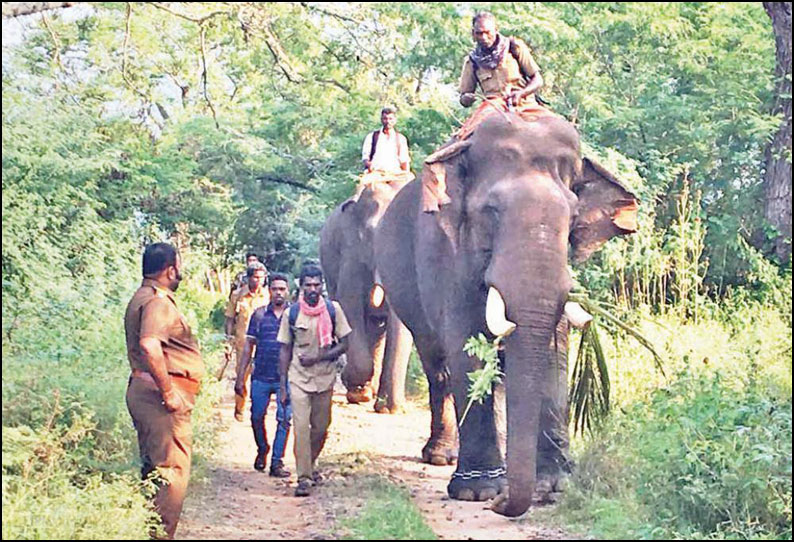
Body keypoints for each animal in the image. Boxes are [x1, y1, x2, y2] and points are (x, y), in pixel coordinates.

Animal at [318, 181, 412, 414]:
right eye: (375, 235)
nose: (395, 408)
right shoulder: (351, 254)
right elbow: (349, 307)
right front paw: (357, 392)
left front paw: (387, 409)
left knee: (377, 329)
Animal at [372, 111, 636, 520]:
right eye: (491, 213)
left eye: (572, 218)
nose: (502, 504)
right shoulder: (446, 252)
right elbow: (466, 345)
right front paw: (479, 491)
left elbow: (553, 353)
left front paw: (554, 486)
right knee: (438, 367)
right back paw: (441, 456)